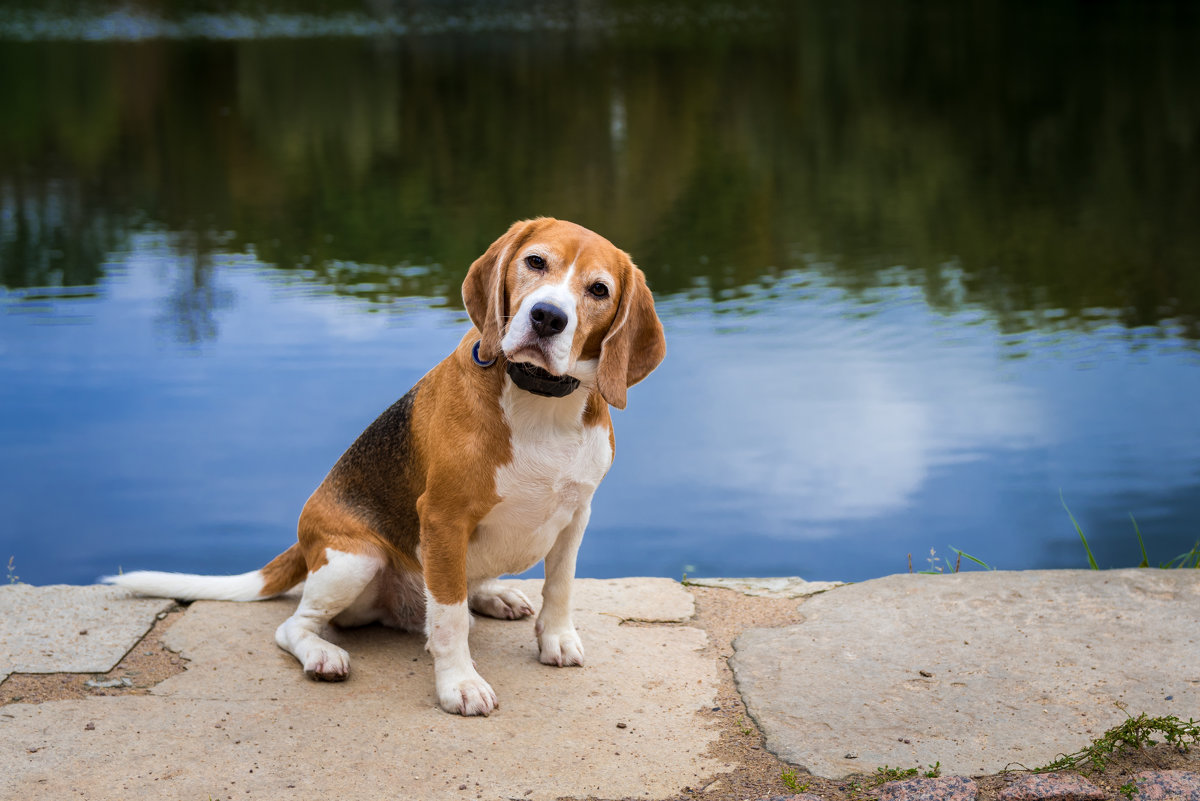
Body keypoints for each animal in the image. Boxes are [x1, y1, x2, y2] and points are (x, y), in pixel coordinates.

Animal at [105, 217, 667, 714]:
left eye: (598, 290)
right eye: (535, 262)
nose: (548, 316)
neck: (539, 400)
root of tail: (305, 540)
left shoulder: (576, 513)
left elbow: (560, 586)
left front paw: (556, 639)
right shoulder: (442, 519)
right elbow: (448, 619)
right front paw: (459, 685)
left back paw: (493, 595)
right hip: (357, 559)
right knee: (296, 626)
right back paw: (324, 654)